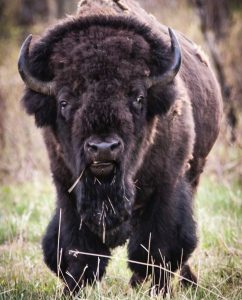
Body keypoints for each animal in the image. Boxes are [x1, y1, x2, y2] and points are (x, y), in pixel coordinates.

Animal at [18, 0, 222, 296]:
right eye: (64, 102)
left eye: (138, 97)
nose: (103, 148)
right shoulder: (67, 190)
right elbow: (75, 251)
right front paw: (73, 290)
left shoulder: (166, 186)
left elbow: (158, 248)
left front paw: (158, 291)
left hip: (193, 174)